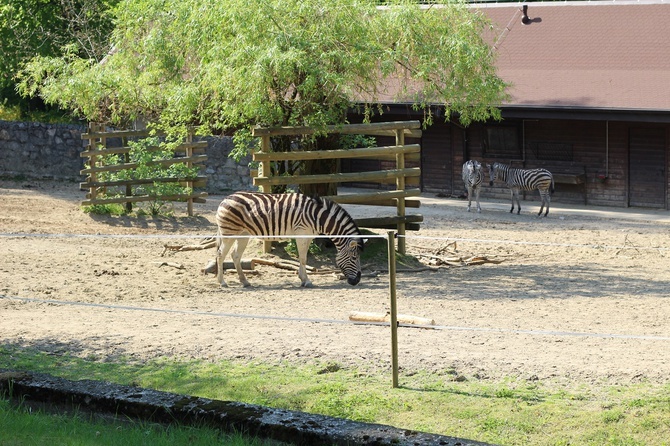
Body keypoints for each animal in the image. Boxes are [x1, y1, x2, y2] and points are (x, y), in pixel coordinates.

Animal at [215, 191, 364, 288]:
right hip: (229, 233)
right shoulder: (301, 233)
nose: (356, 281)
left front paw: (302, 279)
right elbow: (303, 258)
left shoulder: (308, 236)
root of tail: (226, 198)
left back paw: (245, 282)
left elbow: (304, 258)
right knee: (221, 255)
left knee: (235, 255)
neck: (318, 217)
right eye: (354, 258)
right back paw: (222, 282)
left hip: (243, 234)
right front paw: (307, 281)